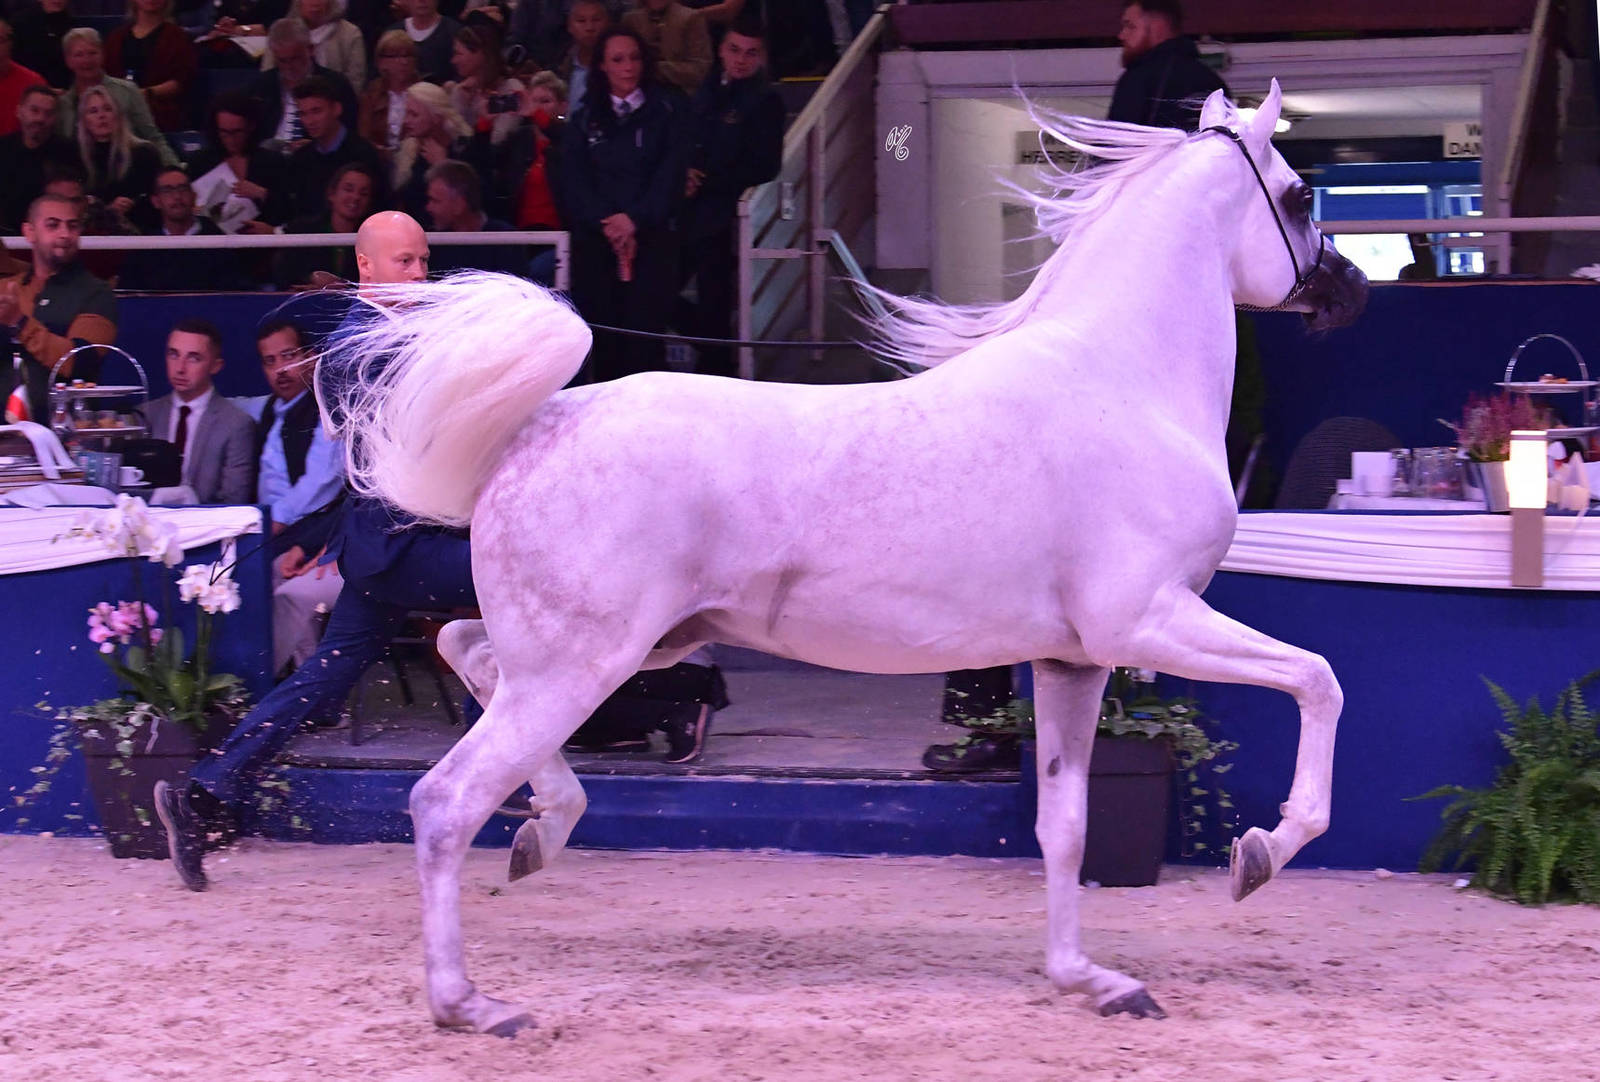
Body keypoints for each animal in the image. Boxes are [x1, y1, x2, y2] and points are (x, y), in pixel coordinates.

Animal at [326, 82, 1368, 1035]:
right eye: (1300, 194)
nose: (1352, 290)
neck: (1127, 382)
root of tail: (531, 428)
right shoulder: (1147, 621)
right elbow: (1318, 681)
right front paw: (1261, 854)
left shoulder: (1074, 660)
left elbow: (1065, 829)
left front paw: (1091, 980)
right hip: (582, 664)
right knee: (446, 798)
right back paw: (469, 1002)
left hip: (619, 649)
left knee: (465, 650)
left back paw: (543, 833)